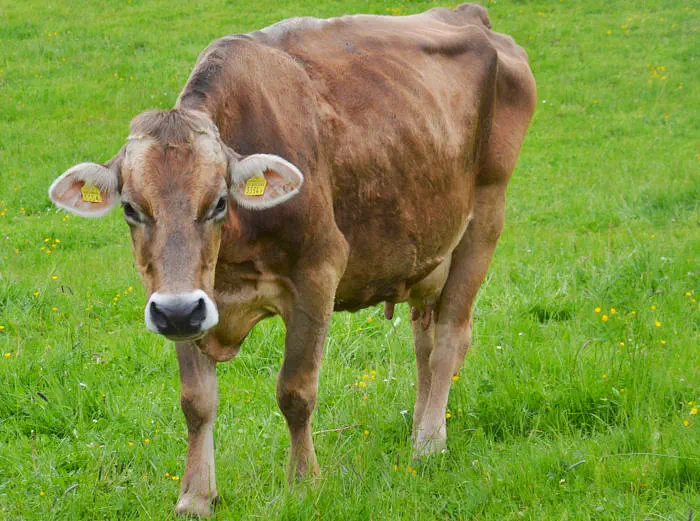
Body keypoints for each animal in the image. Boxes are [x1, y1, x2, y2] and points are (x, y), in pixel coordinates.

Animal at [49, 3, 535, 517]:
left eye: (219, 202)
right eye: (130, 208)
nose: (178, 310)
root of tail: (467, 15)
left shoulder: (317, 274)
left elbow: (295, 391)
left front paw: (303, 483)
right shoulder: (183, 299)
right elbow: (196, 401)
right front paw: (196, 495)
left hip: (485, 217)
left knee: (448, 340)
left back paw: (428, 444)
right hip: (426, 251)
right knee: (424, 341)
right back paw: (420, 428)